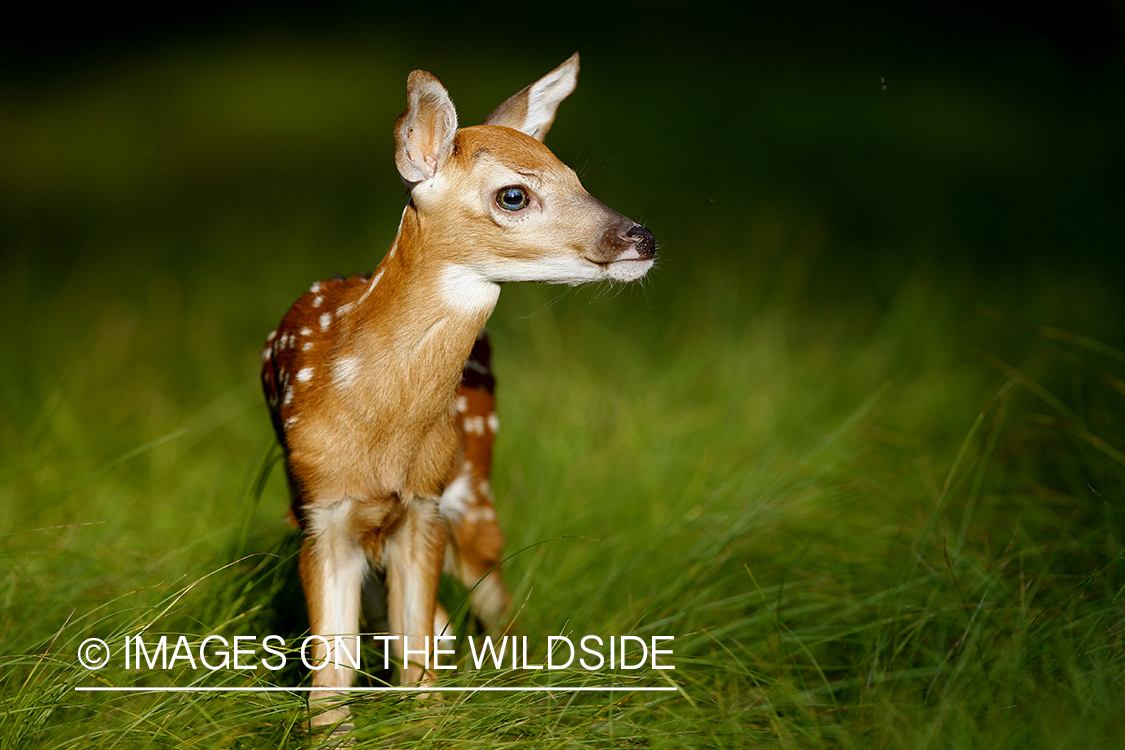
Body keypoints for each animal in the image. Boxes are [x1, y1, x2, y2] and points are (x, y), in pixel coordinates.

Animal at [260, 53, 656, 730]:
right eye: (514, 195)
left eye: (576, 176)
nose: (642, 239)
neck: (378, 427)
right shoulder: (321, 510)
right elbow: (334, 671)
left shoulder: (424, 502)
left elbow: (418, 655)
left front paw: (428, 724)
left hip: (474, 490)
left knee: (495, 607)